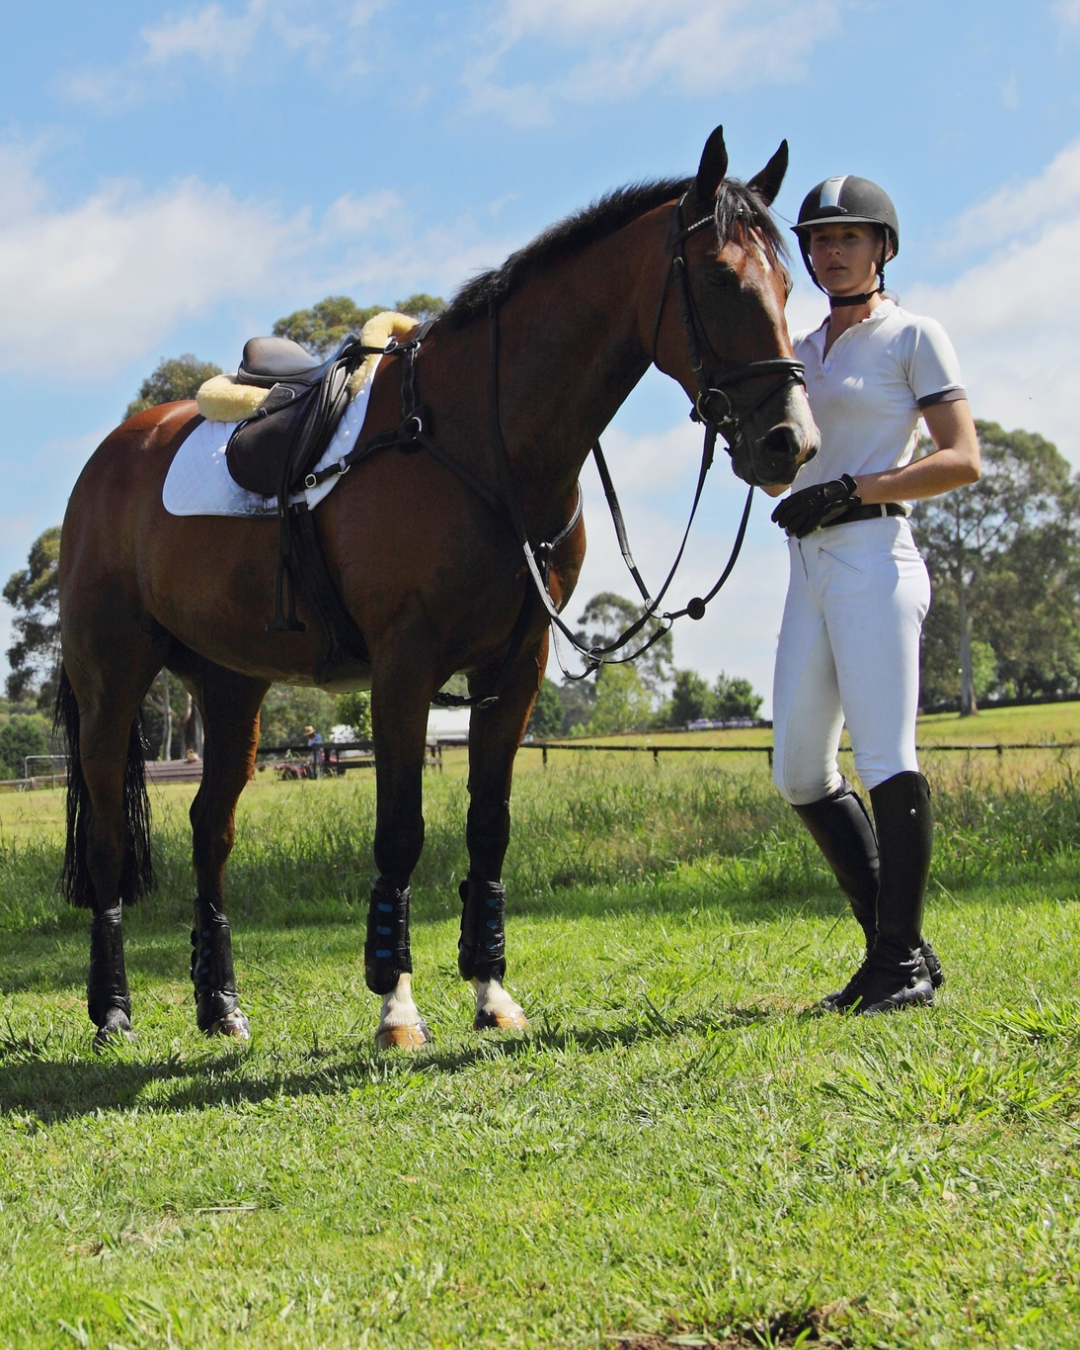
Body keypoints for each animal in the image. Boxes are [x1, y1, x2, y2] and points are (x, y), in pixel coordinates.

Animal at [56, 126, 818, 1051]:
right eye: (720, 279)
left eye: (790, 283)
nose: (789, 442)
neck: (479, 437)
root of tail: (110, 459)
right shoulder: (405, 665)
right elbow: (400, 833)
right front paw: (396, 1007)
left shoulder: (514, 666)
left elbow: (487, 828)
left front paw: (491, 990)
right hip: (112, 682)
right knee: (106, 845)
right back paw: (112, 1010)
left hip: (232, 687)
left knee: (212, 831)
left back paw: (220, 1003)